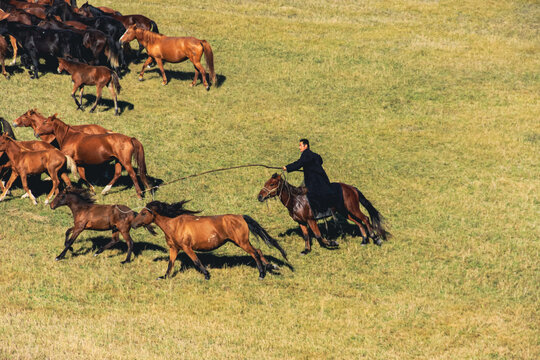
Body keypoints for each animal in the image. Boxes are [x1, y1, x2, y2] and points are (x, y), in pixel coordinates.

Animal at [131, 200, 288, 282]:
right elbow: (170, 263)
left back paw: (261, 274)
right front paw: (163, 277)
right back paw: (271, 266)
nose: (133, 224)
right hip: (241, 242)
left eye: (143, 213)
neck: (174, 224)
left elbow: (196, 261)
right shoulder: (174, 248)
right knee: (259, 251)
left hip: (241, 242)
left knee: (255, 253)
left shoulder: (187, 248)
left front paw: (206, 275)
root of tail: (240, 217)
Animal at [258, 174, 388, 253]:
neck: (296, 200)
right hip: (346, 212)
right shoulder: (301, 222)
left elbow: (318, 235)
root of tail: (351, 188)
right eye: (266, 183)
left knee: (365, 218)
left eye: (272, 184)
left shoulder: (311, 220)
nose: (259, 197)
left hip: (353, 209)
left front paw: (332, 243)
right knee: (359, 222)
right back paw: (364, 241)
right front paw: (306, 250)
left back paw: (375, 238)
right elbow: (306, 236)